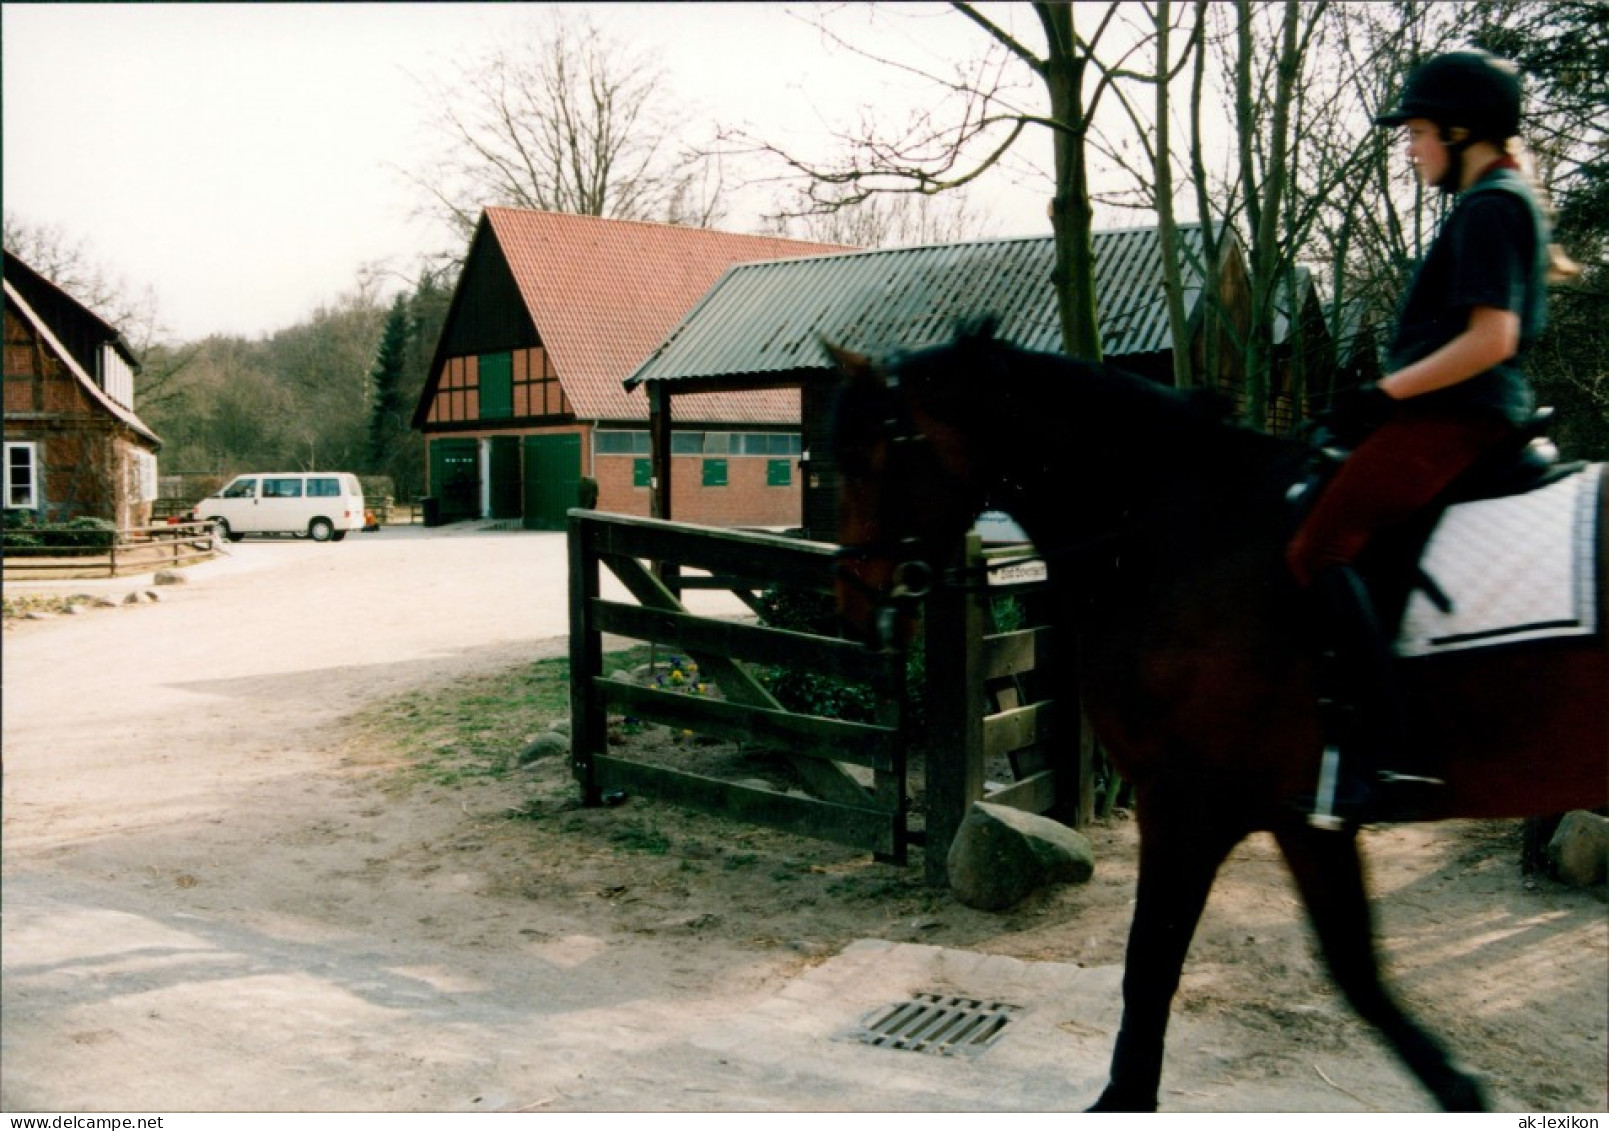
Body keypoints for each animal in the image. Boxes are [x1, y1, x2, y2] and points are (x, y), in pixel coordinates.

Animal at [830, 313, 1609, 1113]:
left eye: (861, 459)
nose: (848, 610)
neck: (1178, 532)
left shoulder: (1188, 804)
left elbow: (1150, 963)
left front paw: (1123, 1096)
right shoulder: (1302, 818)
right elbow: (1355, 971)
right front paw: (1460, 1088)